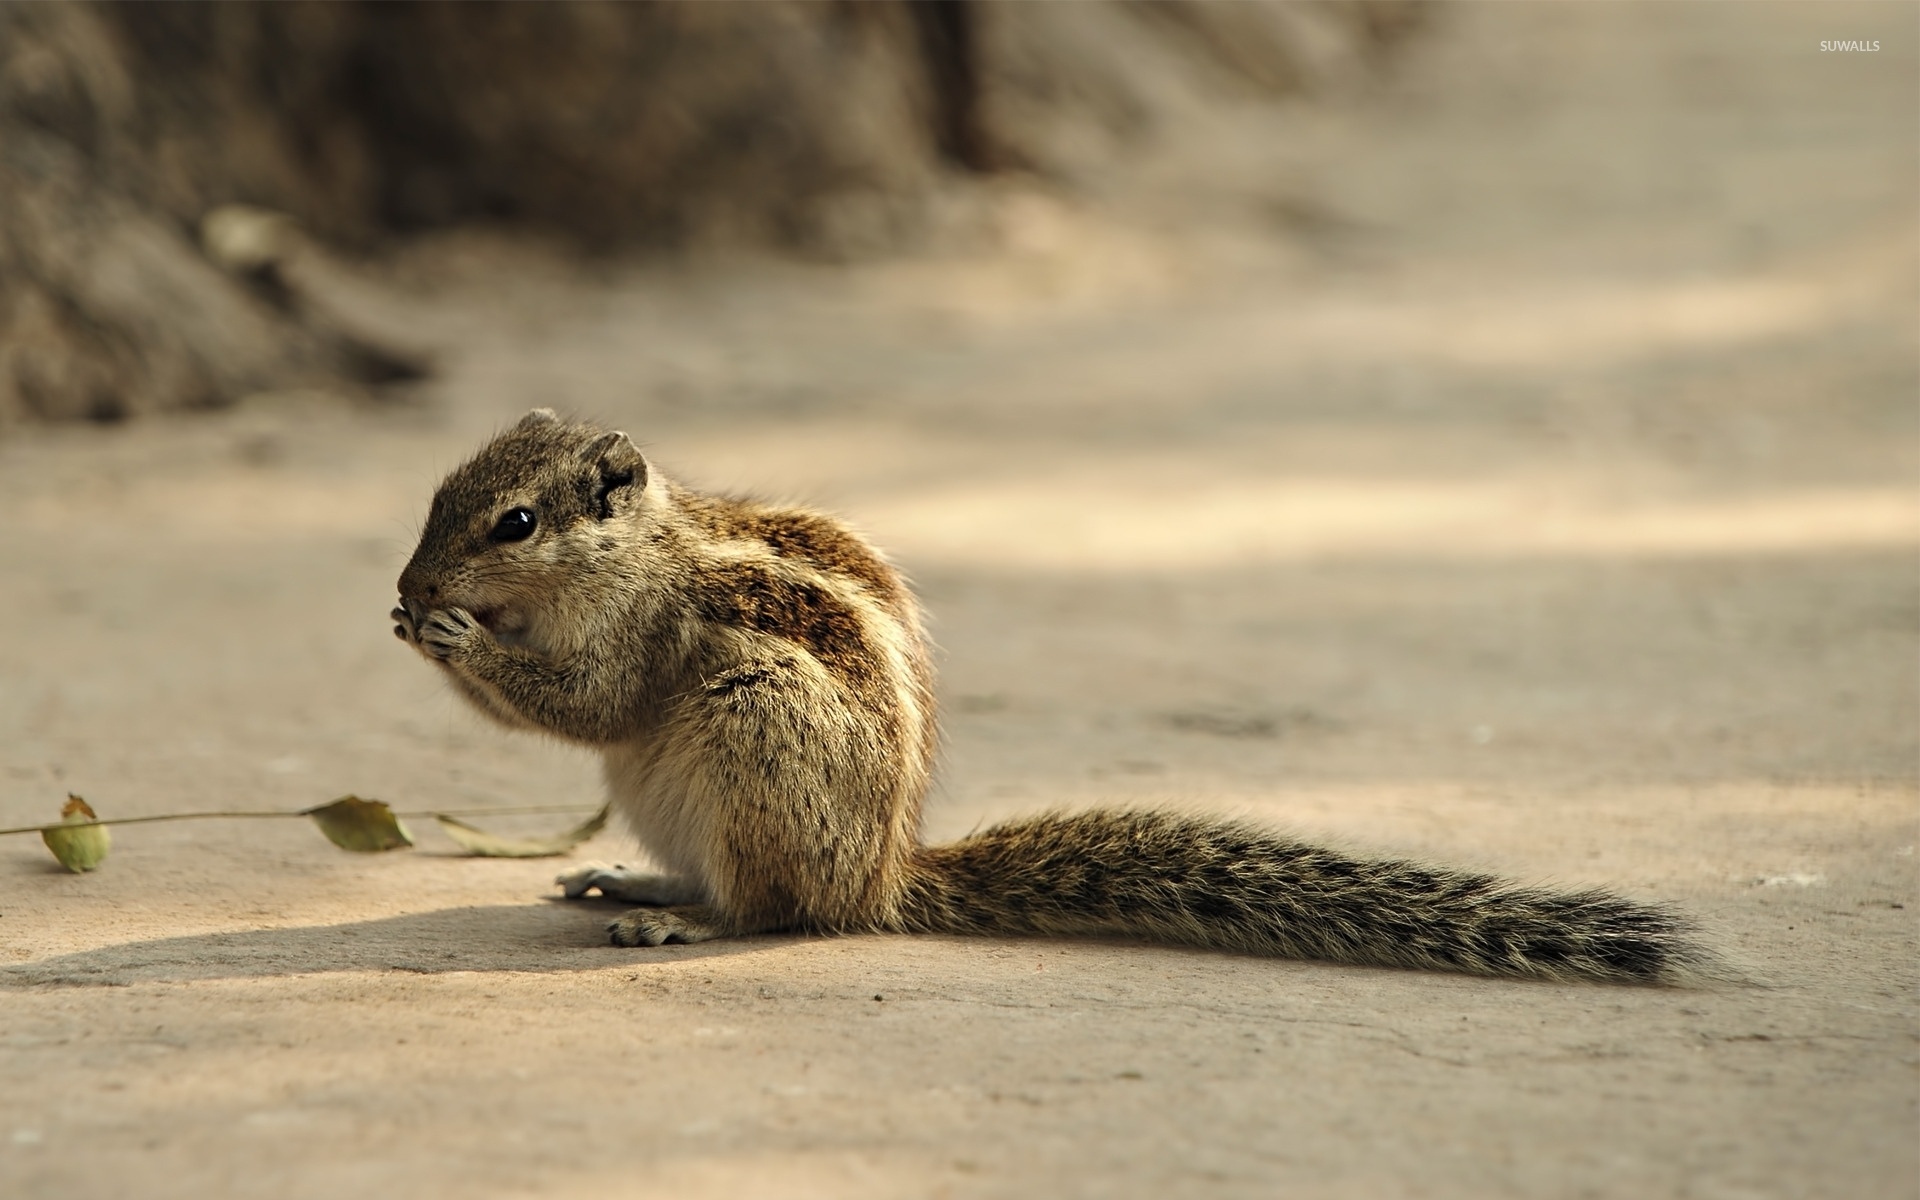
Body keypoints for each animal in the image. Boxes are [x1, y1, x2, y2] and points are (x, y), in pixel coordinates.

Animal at [393, 407, 1712, 979]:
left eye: (514, 522)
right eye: (439, 491)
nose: (410, 583)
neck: (643, 546)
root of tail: (886, 875)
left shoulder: (641, 634)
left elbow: (587, 701)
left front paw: (448, 634)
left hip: (752, 728)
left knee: (781, 913)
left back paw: (687, 918)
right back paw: (640, 879)